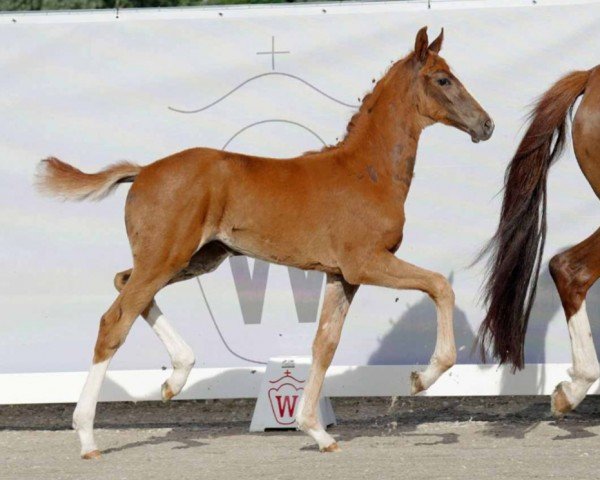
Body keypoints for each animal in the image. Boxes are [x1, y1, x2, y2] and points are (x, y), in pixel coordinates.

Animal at [39, 27, 494, 458]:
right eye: (443, 78)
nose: (487, 124)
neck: (367, 171)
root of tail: (144, 170)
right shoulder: (365, 262)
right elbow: (439, 285)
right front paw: (422, 377)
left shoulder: (341, 275)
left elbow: (325, 344)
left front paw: (315, 430)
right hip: (166, 257)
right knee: (114, 321)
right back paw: (87, 436)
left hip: (196, 258)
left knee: (125, 285)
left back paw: (176, 377)